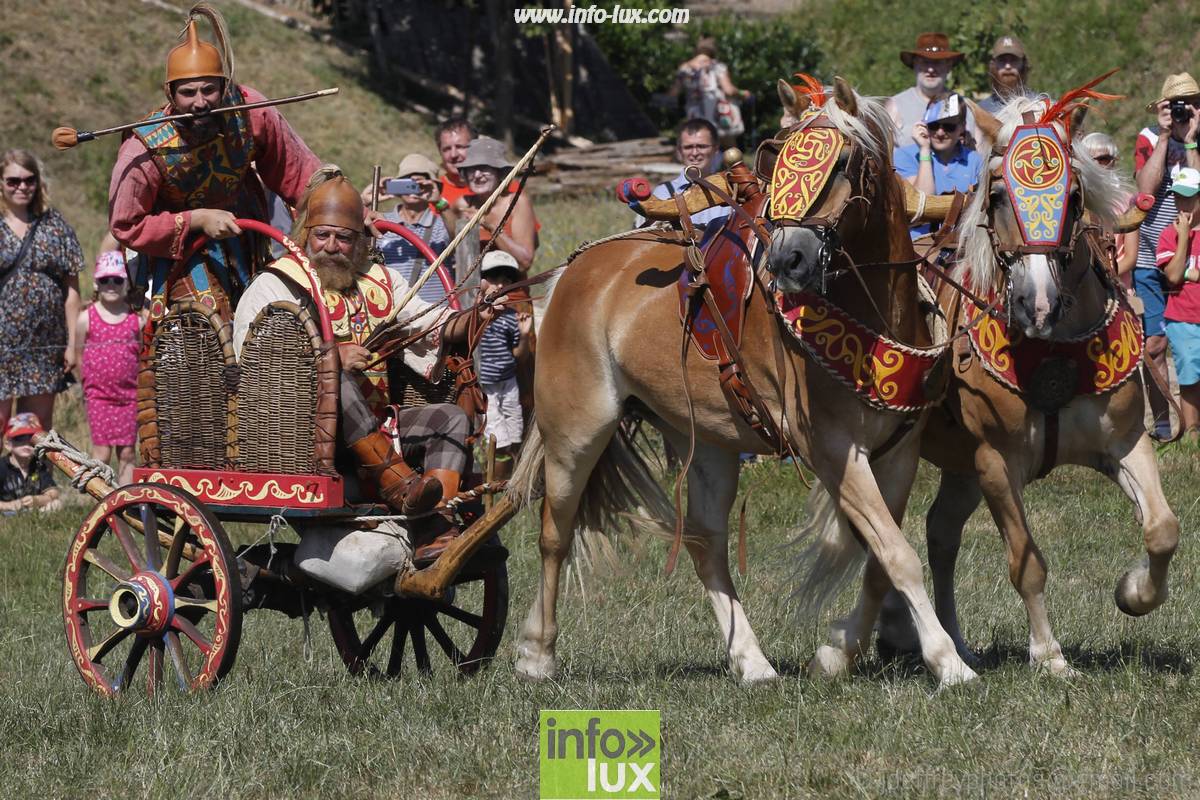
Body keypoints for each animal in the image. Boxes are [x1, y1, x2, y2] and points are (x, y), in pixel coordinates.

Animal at [511, 82, 979, 695]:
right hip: (575, 432)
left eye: (844, 162)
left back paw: (751, 660)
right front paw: (949, 662)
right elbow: (896, 555)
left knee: (705, 543)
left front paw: (838, 653)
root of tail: (576, 271)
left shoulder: (897, 452)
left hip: (708, 440)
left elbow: (883, 559)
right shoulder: (832, 448)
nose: (787, 258)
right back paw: (536, 653)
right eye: (776, 157)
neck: (871, 317)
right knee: (554, 534)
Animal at [873, 92, 1180, 676]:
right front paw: (1049, 655)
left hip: (960, 469)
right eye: (995, 196)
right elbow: (1026, 561)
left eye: (1075, 197)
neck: (1051, 347)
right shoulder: (996, 462)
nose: (1036, 303)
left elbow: (1161, 529)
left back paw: (953, 640)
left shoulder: (1126, 444)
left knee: (940, 533)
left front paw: (1132, 593)